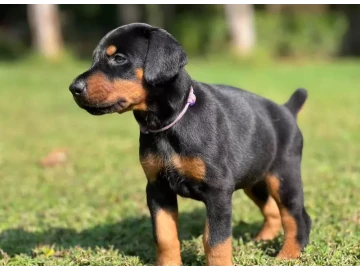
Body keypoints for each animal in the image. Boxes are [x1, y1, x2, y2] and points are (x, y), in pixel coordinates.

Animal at [69, 22, 310, 266]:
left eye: (119, 58)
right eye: (94, 59)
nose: (73, 88)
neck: (169, 125)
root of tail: (287, 110)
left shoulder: (218, 191)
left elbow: (215, 240)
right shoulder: (157, 188)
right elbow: (165, 235)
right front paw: (169, 265)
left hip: (283, 177)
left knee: (296, 217)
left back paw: (287, 255)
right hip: (254, 178)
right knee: (272, 210)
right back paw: (262, 240)